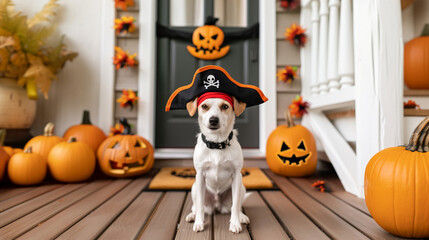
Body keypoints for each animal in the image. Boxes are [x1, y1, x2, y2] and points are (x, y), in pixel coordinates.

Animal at [183, 95, 247, 232]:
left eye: (225, 106)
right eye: (204, 106)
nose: (213, 120)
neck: (216, 143)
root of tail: (217, 205)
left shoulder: (236, 175)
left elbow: (235, 205)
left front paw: (235, 223)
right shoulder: (200, 176)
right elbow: (200, 205)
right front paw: (199, 223)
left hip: (242, 187)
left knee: (237, 205)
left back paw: (242, 216)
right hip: (194, 187)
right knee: (196, 206)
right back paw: (192, 215)